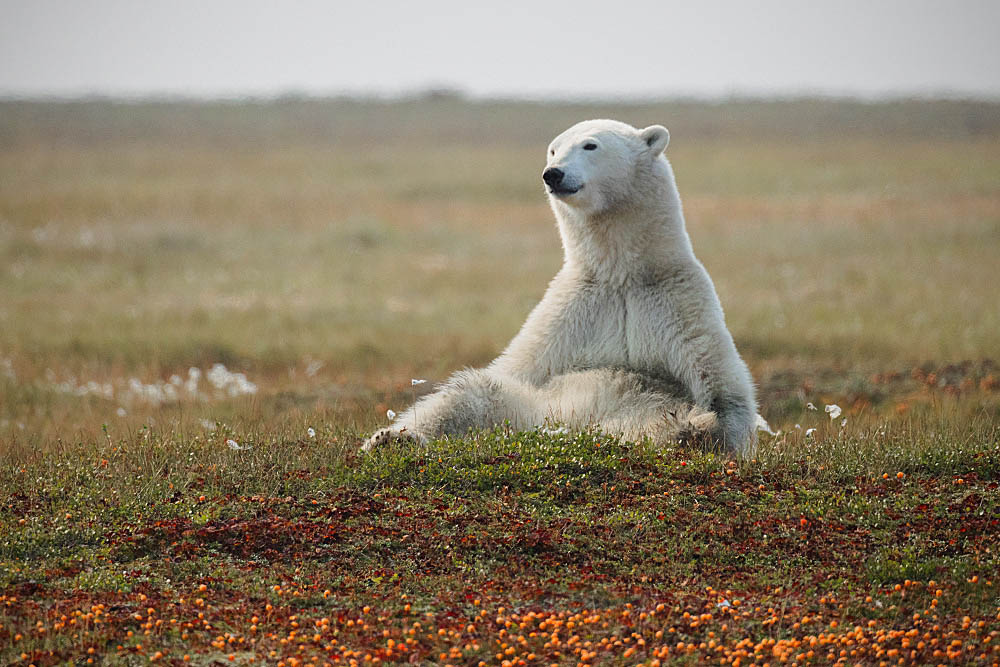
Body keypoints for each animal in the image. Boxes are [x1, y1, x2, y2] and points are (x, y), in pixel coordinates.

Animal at [368, 118, 756, 454]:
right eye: (553, 150)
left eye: (590, 145)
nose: (553, 173)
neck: (620, 275)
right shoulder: (569, 315)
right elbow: (509, 370)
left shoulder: (679, 305)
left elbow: (726, 393)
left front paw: (712, 427)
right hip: (521, 409)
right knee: (469, 395)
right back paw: (393, 439)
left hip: (627, 418)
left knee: (655, 422)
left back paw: (689, 431)